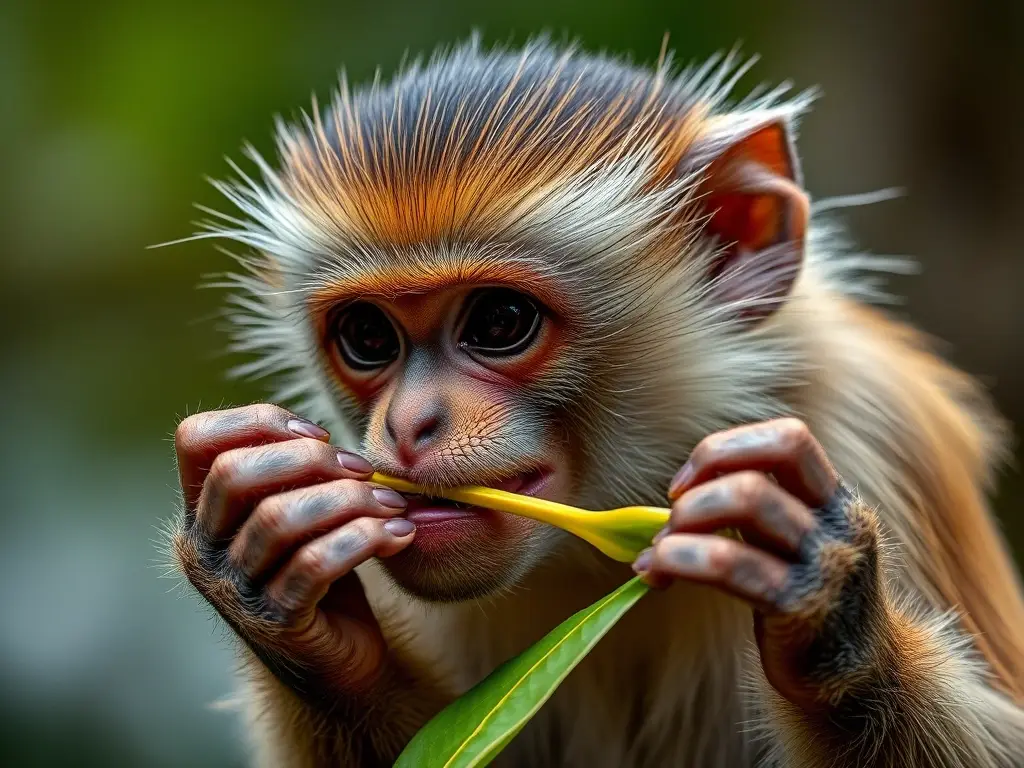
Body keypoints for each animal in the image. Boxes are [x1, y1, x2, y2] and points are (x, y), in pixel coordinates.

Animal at [167, 37, 1024, 767]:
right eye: (368, 336)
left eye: (499, 322)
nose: (409, 426)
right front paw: (266, 571)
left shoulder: (873, 427)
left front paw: (823, 594)